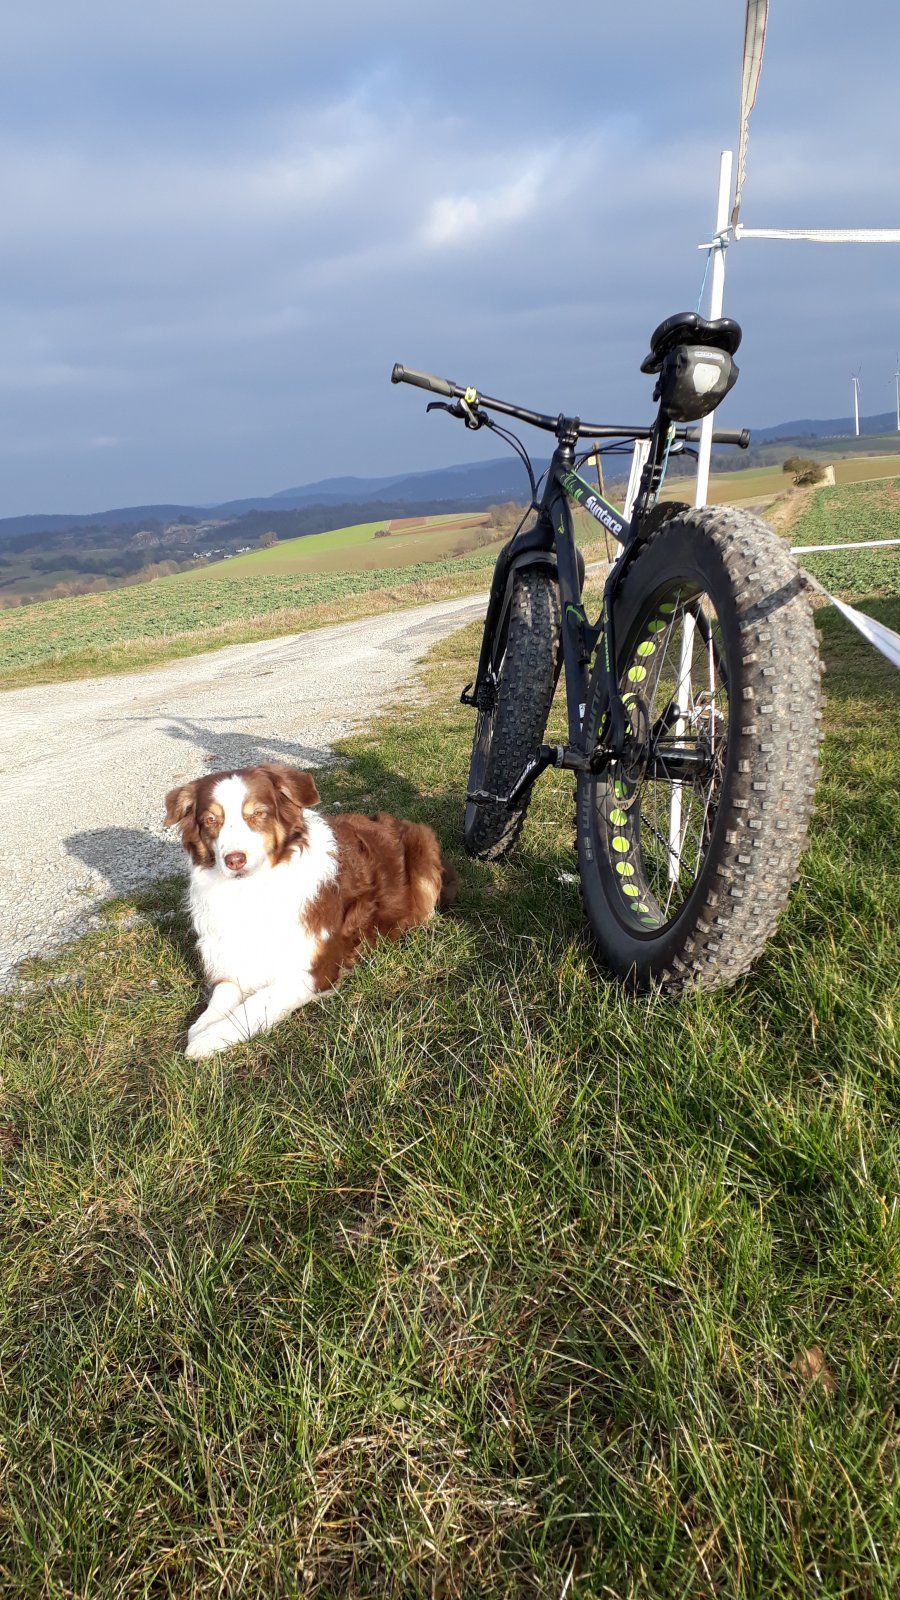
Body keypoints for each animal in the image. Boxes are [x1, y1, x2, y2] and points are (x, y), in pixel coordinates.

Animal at [164, 763, 456, 1058]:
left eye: (258, 813)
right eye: (211, 820)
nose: (234, 860)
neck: (253, 890)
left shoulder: (316, 970)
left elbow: (258, 1002)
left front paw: (209, 1038)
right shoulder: (229, 959)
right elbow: (223, 994)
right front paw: (203, 1025)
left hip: (423, 851)